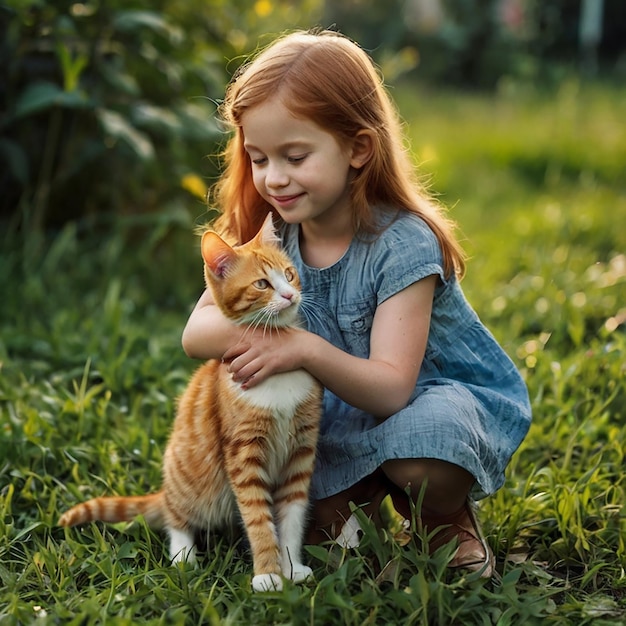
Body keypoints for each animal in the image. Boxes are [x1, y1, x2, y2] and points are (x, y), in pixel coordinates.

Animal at [58, 213, 322, 588]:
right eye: (261, 284)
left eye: (288, 274)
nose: (289, 294)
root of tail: (167, 488)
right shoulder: (243, 453)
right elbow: (258, 517)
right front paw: (268, 576)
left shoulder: (301, 448)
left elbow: (292, 516)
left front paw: (291, 567)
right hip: (195, 484)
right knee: (175, 517)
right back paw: (183, 555)